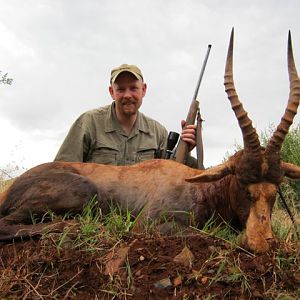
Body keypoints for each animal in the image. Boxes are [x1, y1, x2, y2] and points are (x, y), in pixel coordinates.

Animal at [0, 29, 300, 252]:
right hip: (82, 193)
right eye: (242, 182)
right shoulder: (151, 224)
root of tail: (12, 187)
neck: (201, 188)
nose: (261, 243)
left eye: (276, 188)